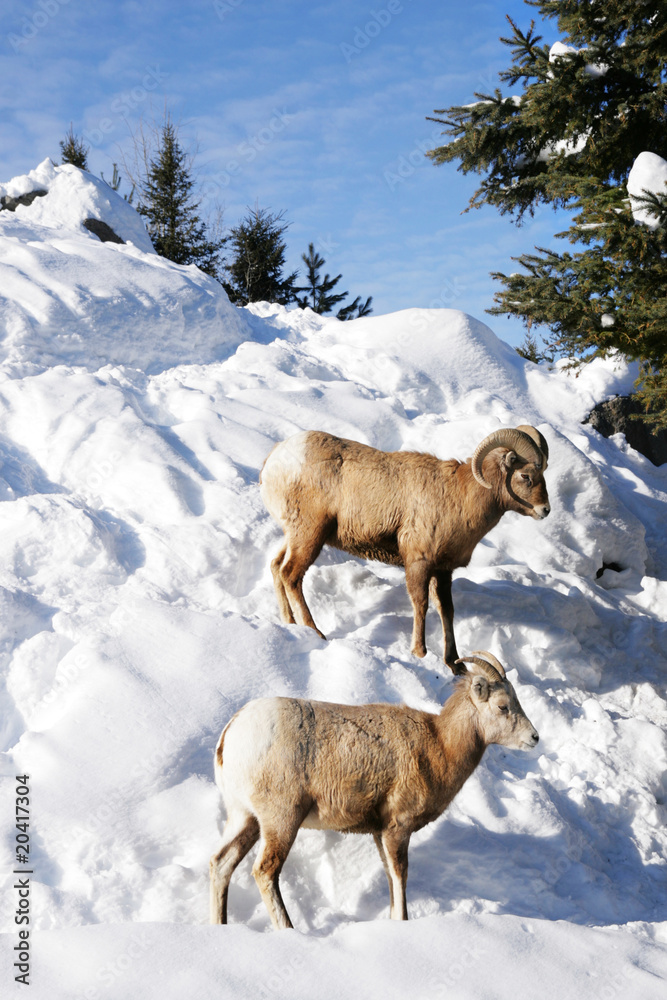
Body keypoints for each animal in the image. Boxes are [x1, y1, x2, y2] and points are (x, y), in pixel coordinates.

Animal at [209, 651, 539, 929]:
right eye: (502, 706)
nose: (534, 738)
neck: (439, 746)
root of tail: (231, 733)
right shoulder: (397, 827)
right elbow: (400, 877)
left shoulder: (379, 832)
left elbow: (391, 882)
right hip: (282, 820)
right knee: (265, 871)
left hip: (245, 818)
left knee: (220, 864)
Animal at [260, 426, 550, 671]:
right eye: (525, 476)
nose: (545, 510)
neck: (460, 496)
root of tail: (274, 459)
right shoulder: (419, 563)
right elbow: (421, 604)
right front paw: (419, 653)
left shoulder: (443, 571)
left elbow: (447, 610)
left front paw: (454, 663)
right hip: (310, 535)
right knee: (290, 575)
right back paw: (316, 632)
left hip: (296, 536)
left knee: (276, 566)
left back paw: (290, 623)